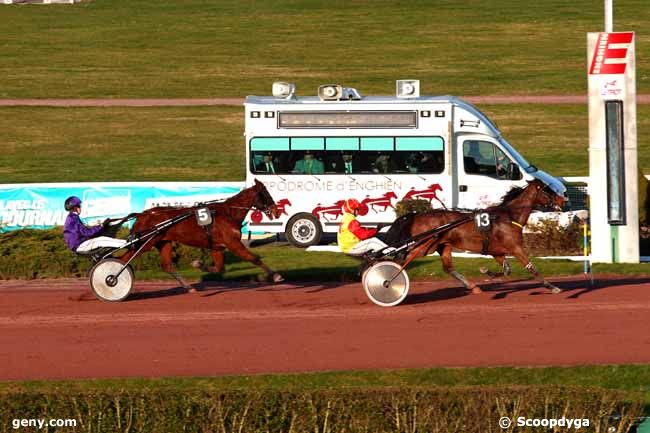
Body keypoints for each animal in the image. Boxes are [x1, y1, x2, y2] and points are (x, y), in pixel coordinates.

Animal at [119, 179, 280, 290]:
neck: (228, 213)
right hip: (144, 243)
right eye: (266, 194)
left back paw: (189, 287)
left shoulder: (218, 247)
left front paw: (198, 264)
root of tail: (142, 214)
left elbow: (220, 268)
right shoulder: (233, 243)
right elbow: (253, 258)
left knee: (167, 266)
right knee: (122, 260)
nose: (277, 211)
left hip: (163, 242)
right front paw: (276, 275)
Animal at [384, 179, 560, 294]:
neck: (509, 217)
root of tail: (416, 215)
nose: (562, 199)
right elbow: (532, 268)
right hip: (424, 246)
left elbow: (507, 270)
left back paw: (473, 287)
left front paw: (486, 271)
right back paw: (388, 281)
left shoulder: (498, 252)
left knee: (448, 268)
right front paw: (552, 287)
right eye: (547, 189)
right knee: (402, 259)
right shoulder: (515, 248)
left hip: (442, 245)